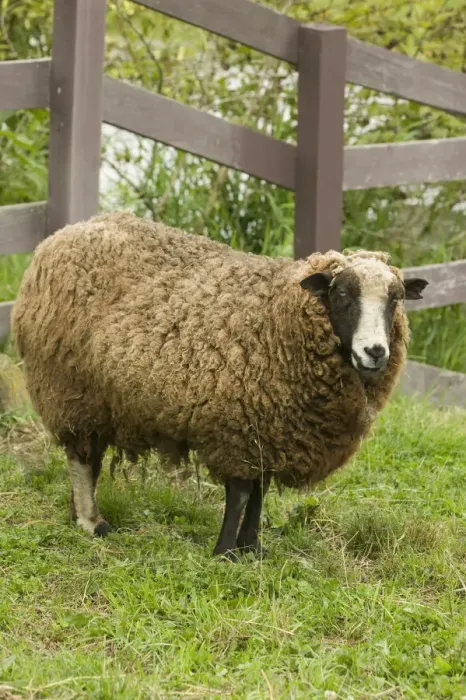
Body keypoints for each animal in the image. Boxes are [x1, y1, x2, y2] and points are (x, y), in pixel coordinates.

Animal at [12, 211, 428, 559]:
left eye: (396, 298)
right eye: (341, 294)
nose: (375, 352)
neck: (278, 322)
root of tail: (64, 232)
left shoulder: (268, 434)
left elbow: (259, 493)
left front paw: (252, 548)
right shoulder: (237, 429)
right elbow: (241, 493)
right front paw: (225, 552)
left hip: (98, 398)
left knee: (90, 456)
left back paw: (78, 514)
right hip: (70, 389)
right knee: (82, 458)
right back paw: (90, 521)